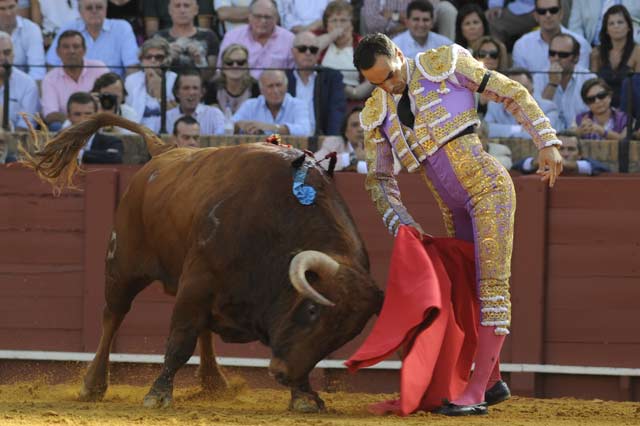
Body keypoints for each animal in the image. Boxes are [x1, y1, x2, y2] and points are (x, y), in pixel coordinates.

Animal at [21, 114, 384, 412]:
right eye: (311, 310)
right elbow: (180, 340)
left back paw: (214, 383)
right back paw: (93, 385)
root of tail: (163, 151)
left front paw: (304, 395)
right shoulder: (198, 280)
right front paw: (158, 395)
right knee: (114, 315)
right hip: (123, 263)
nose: (281, 374)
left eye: (344, 335)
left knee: (204, 329)